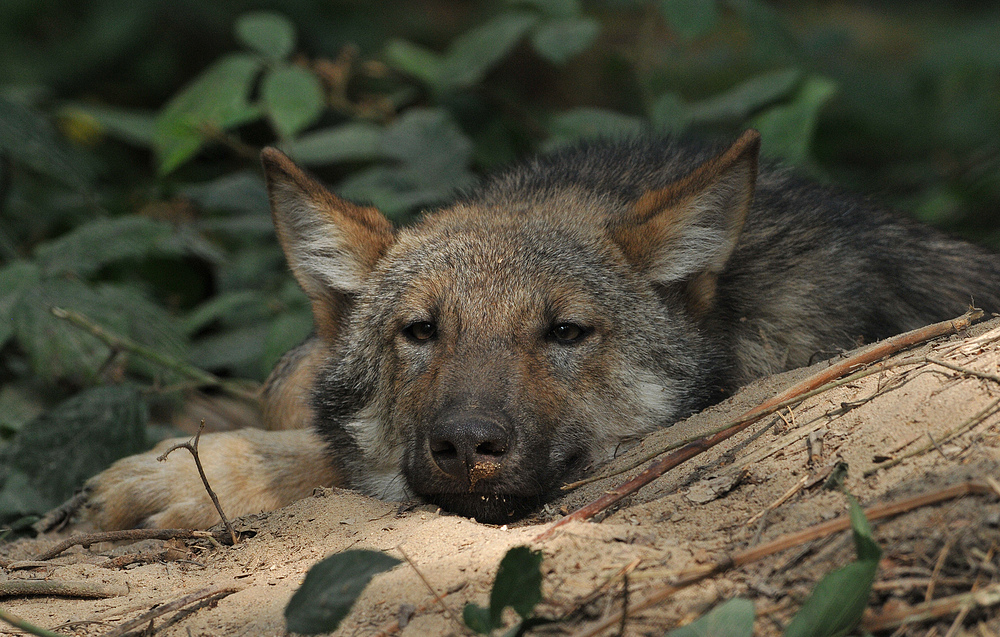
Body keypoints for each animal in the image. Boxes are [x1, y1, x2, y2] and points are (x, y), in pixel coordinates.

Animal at [70, 128, 1000, 528]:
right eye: (419, 331)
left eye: (565, 332)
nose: (466, 445)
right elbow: (298, 392)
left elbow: (329, 454)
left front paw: (189, 475)